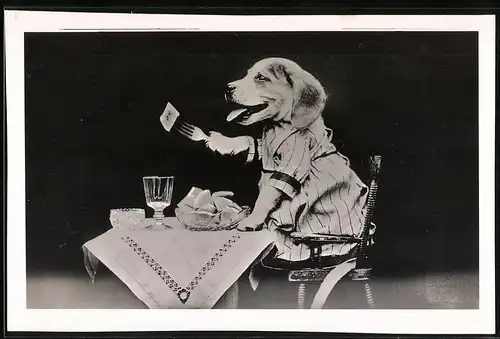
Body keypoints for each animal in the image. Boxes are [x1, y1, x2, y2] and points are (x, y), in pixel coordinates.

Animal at [205, 57, 370, 262]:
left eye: (260, 78)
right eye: (247, 74)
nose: (227, 88)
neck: (278, 126)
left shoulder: (293, 164)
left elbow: (267, 195)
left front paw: (251, 221)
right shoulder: (264, 147)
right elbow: (251, 142)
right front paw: (223, 141)